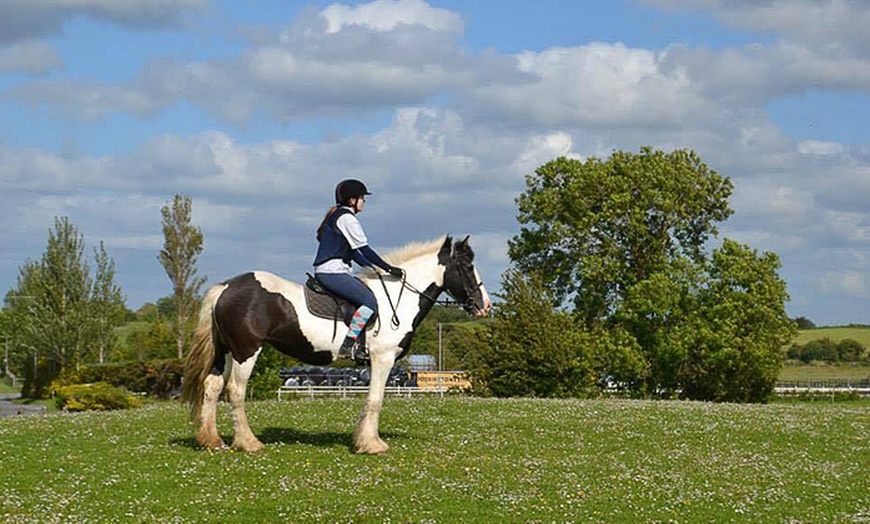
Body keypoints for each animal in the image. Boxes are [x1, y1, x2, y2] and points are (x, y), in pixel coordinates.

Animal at [179, 235, 490, 452]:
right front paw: (372, 444)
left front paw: (362, 439)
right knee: (235, 390)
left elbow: (369, 399)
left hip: (226, 351)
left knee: (212, 386)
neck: (397, 298)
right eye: (467, 266)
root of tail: (227, 287)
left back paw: (210, 440)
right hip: (246, 351)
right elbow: (376, 399)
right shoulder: (383, 358)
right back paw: (248, 442)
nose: (484, 306)